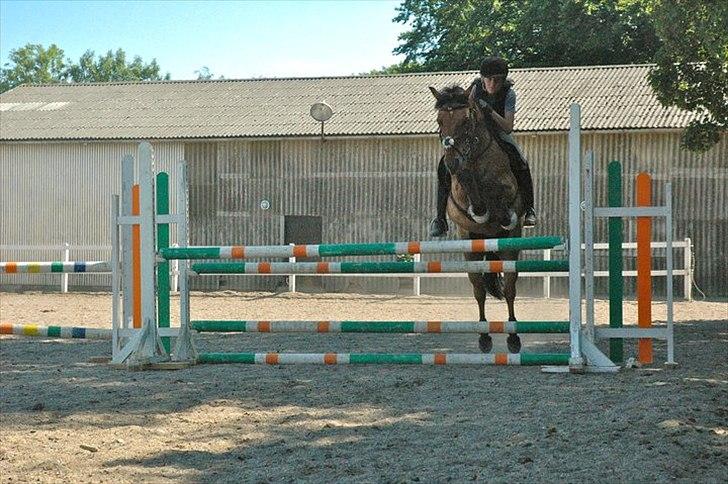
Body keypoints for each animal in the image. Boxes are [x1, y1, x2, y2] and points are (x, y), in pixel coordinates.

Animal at [430, 83, 528, 354]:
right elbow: (472, 195)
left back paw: (513, 337)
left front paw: (502, 213)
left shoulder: (507, 189)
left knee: (510, 288)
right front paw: (478, 205)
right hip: (471, 246)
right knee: (479, 290)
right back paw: (484, 337)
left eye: (466, 120)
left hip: (510, 245)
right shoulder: (461, 196)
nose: (452, 162)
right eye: (440, 120)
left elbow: (500, 197)